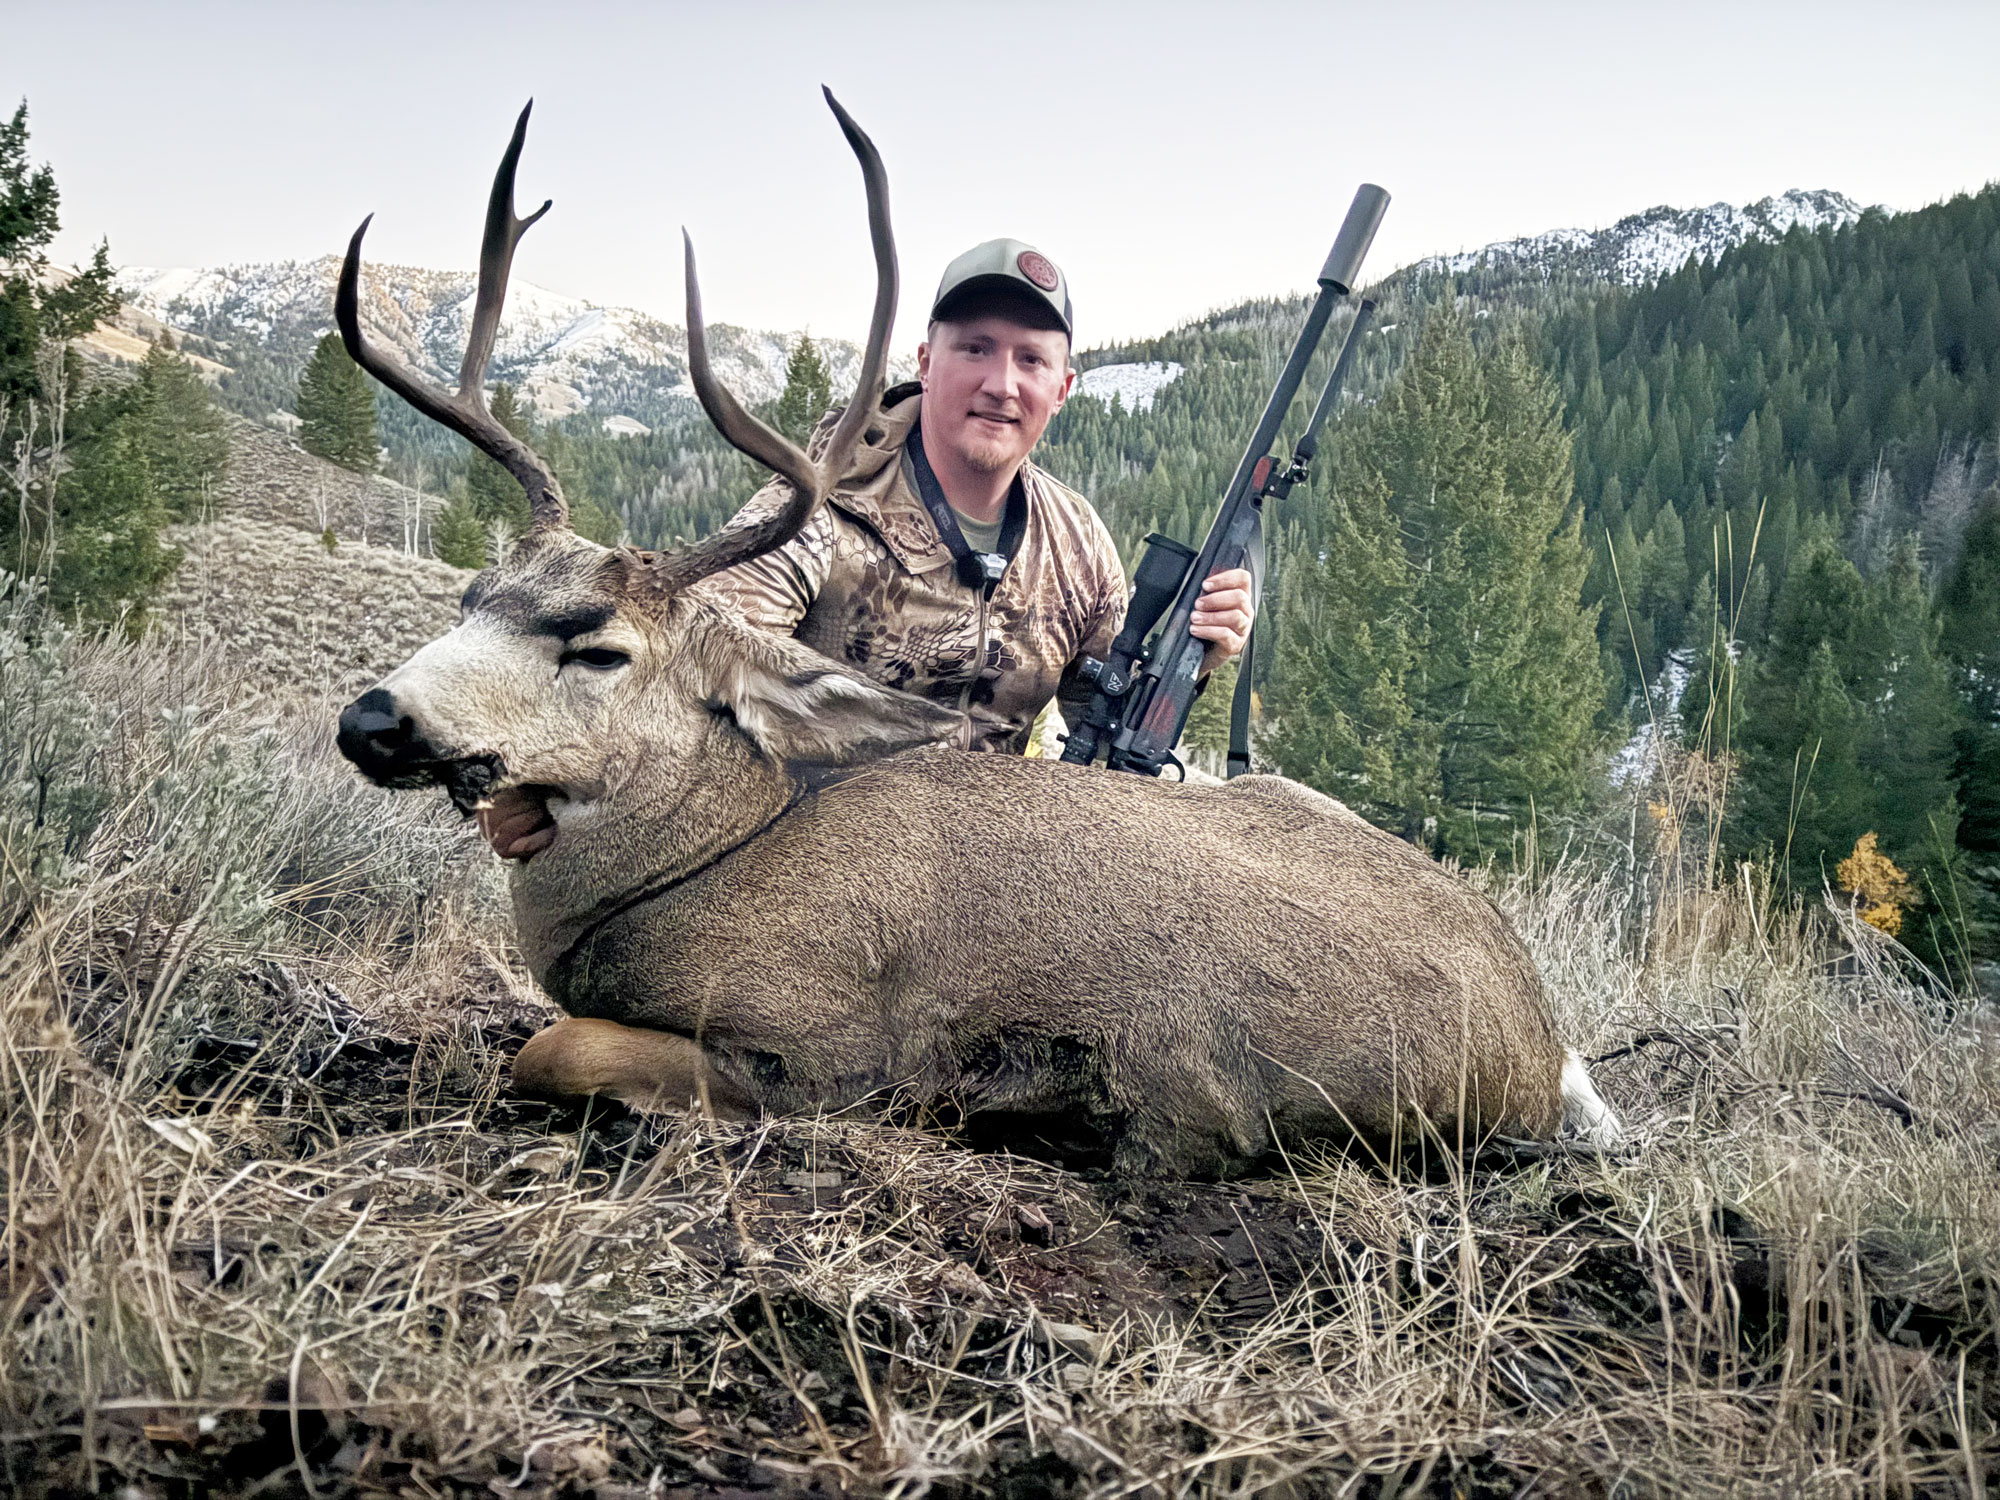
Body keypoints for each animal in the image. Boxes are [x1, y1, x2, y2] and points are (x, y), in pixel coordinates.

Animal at [333, 93, 1622, 1177]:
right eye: (469, 596)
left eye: (601, 646)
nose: (374, 719)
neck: (702, 863)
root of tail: (1538, 1036)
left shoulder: (823, 1045)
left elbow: (548, 1047)